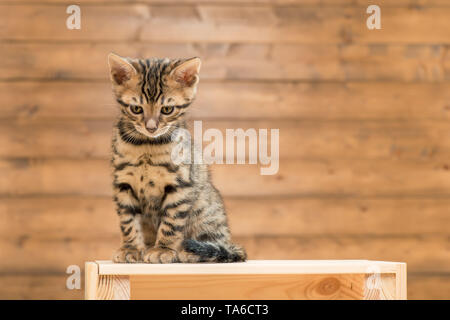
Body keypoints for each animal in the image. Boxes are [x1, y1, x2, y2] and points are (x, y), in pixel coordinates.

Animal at [107, 52, 246, 262]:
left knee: (217, 247)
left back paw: (189, 253)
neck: (147, 145)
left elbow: (171, 222)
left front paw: (163, 249)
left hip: (206, 214)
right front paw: (130, 248)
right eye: (136, 109)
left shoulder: (181, 184)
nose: (151, 127)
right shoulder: (123, 183)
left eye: (167, 110)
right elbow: (128, 221)